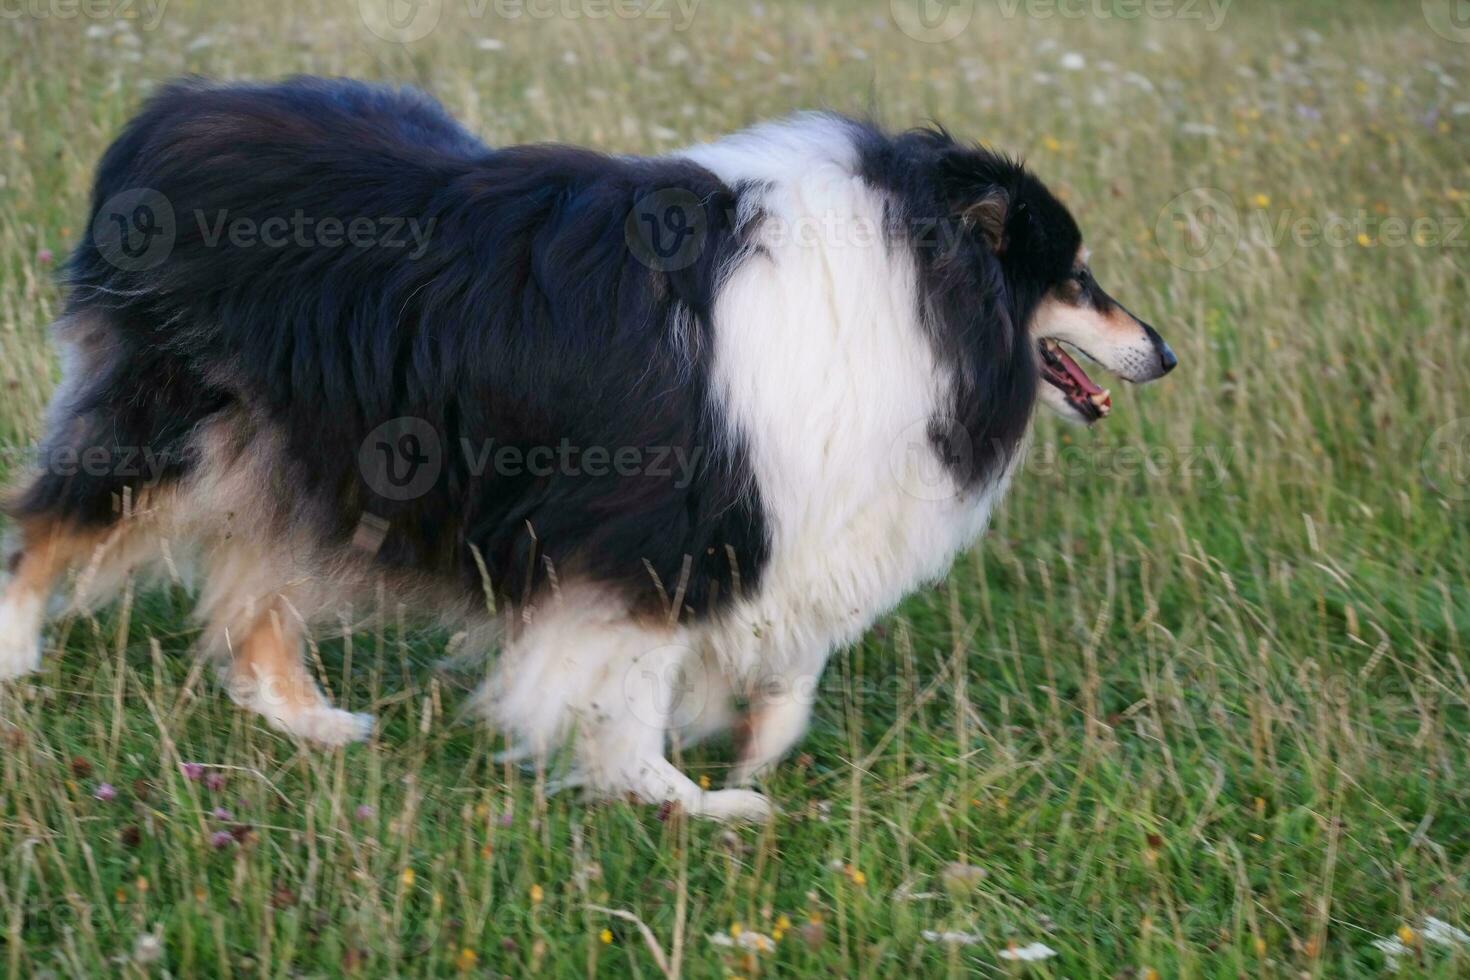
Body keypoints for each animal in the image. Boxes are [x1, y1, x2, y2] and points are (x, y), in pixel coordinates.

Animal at [0, 76, 1170, 822]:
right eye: (1075, 275)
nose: (1162, 351)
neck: (917, 286)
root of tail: (174, 112)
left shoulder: (778, 513)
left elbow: (789, 658)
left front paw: (754, 739)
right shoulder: (662, 523)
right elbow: (632, 677)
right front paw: (681, 796)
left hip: (305, 451)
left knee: (256, 593)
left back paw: (309, 719)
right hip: (181, 425)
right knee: (48, 522)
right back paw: (16, 654)